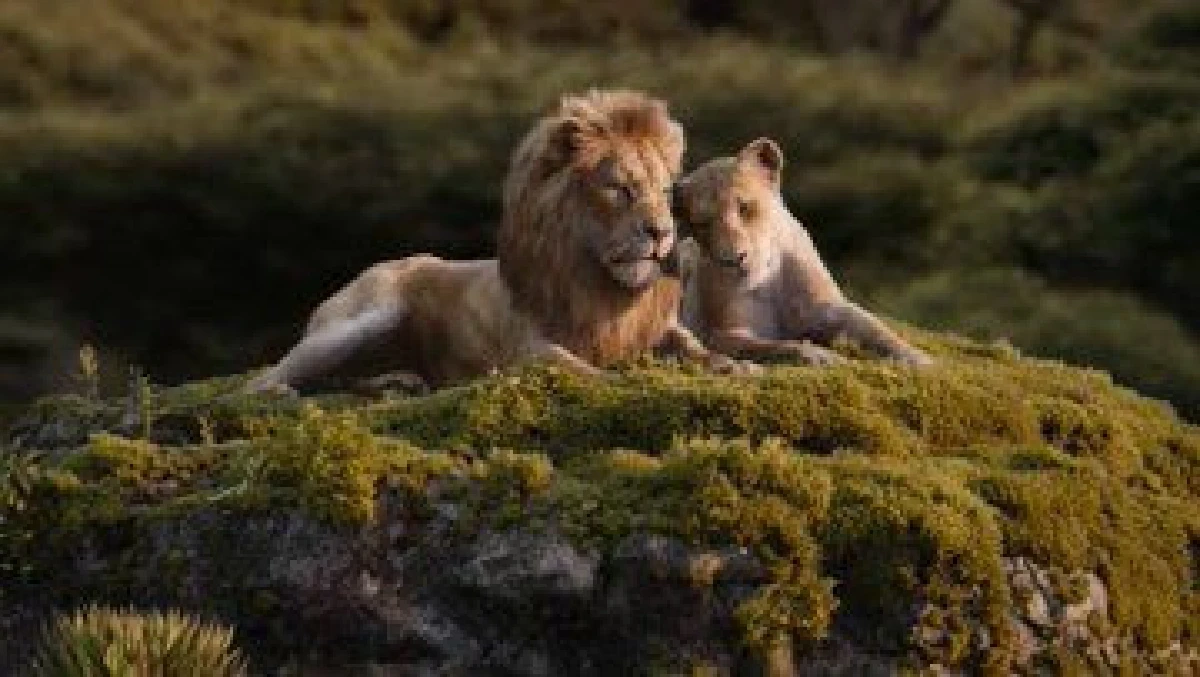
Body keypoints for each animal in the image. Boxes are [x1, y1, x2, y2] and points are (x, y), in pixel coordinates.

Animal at [245, 90, 748, 395]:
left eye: (665, 192)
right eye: (619, 189)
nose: (662, 233)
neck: (599, 283)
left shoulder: (656, 329)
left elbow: (696, 348)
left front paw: (733, 366)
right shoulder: (525, 346)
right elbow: (572, 364)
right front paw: (617, 382)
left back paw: (399, 382)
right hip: (369, 314)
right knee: (270, 377)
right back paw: (284, 391)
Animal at [673, 138, 933, 367]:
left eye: (745, 207)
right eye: (701, 223)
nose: (734, 259)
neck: (767, 277)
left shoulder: (827, 308)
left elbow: (875, 329)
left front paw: (918, 360)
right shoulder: (723, 333)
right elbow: (776, 346)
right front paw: (822, 356)